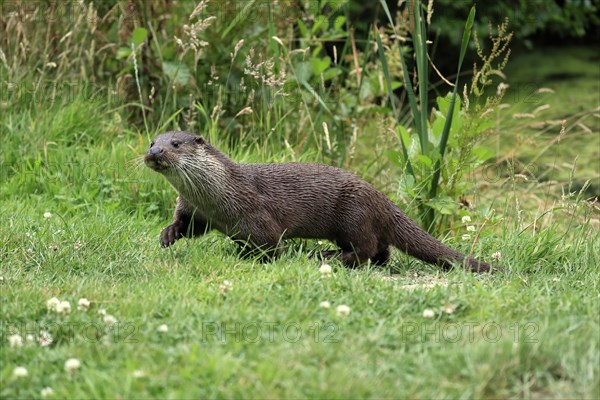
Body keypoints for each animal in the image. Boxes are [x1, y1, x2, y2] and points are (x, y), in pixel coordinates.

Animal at [144, 131, 496, 272]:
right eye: (152, 141)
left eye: (175, 144)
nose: (155, 152)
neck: (218, 196)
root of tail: (381, 198)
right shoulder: (195, 210)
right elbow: (186, 226)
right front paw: (168, 234)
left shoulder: (257, 215)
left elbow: (271, 246)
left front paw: (245, 257)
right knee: (382, 251)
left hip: (353, 214)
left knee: (365, 248)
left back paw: (328, 257)